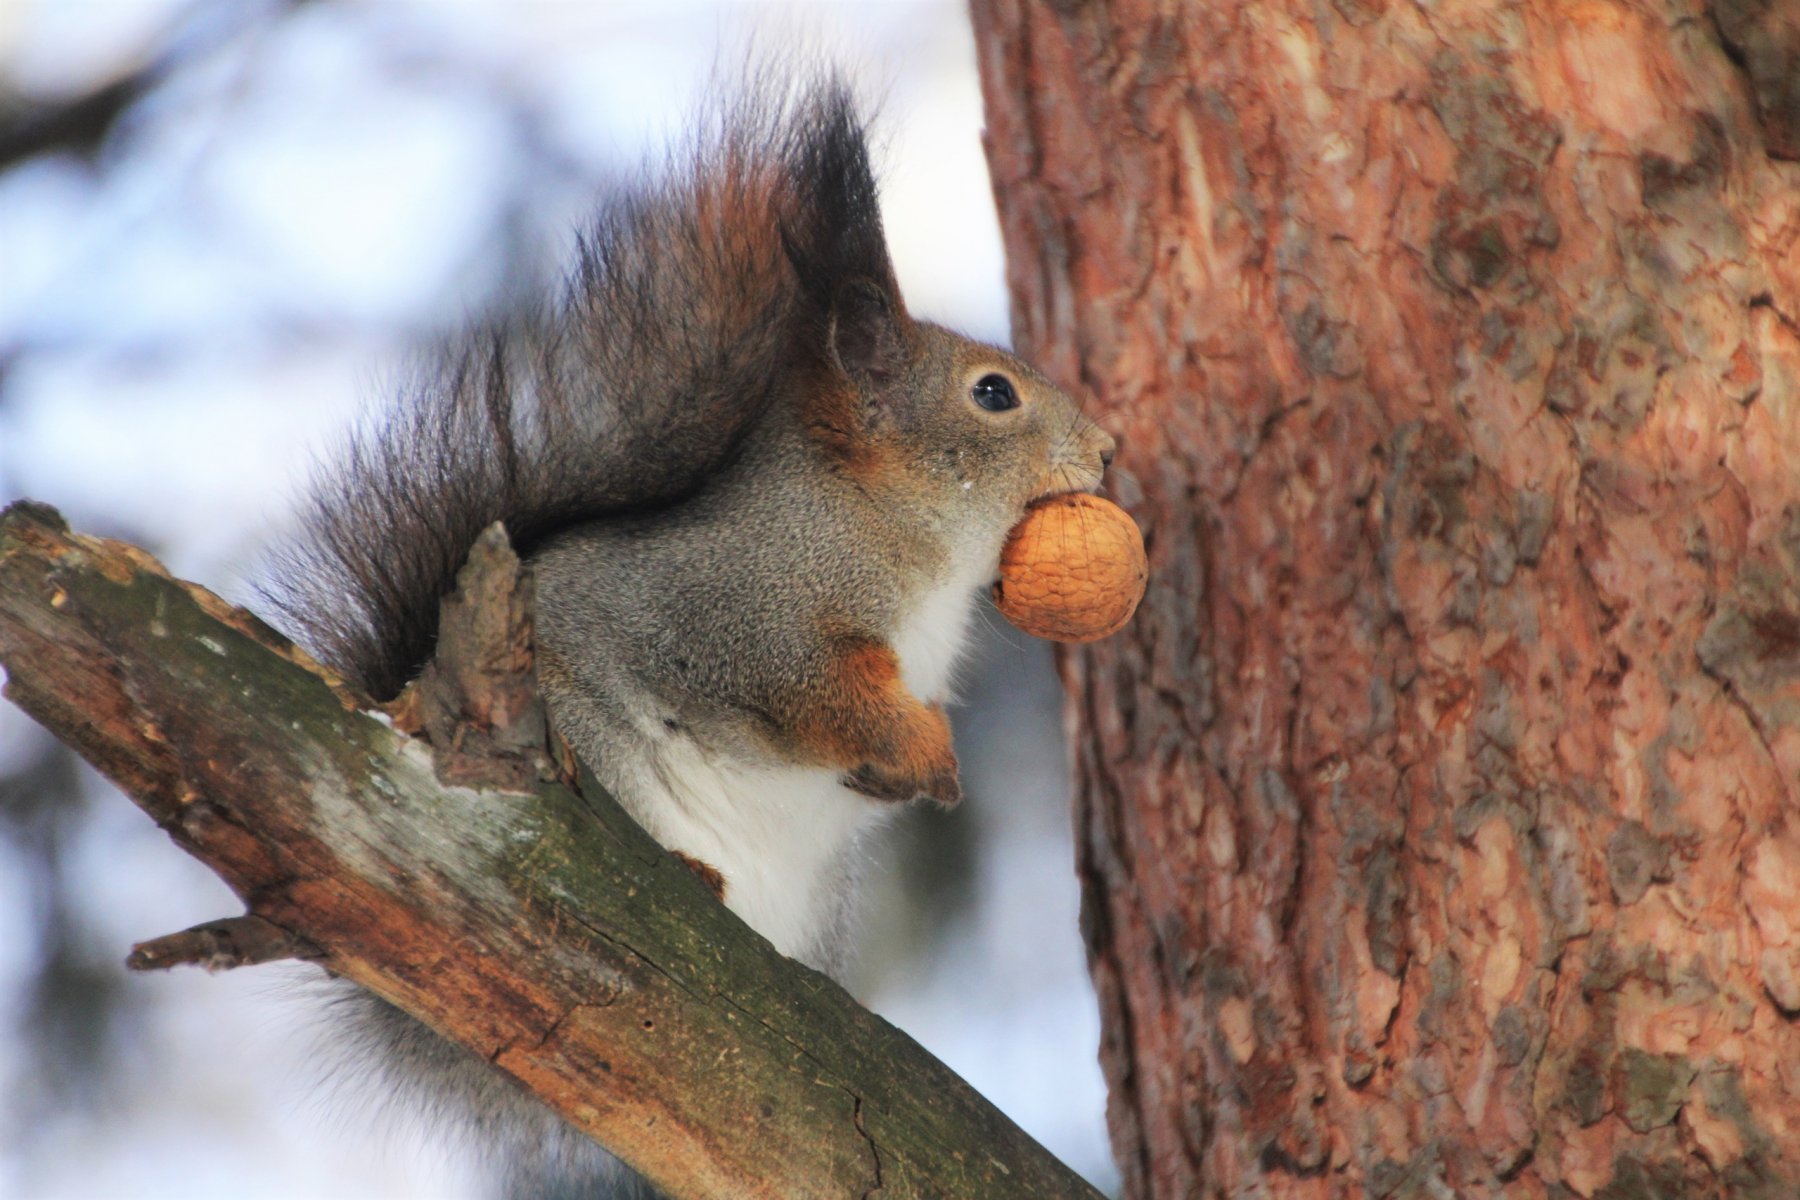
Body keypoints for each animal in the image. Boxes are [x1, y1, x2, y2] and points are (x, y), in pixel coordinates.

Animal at [264, 75, 1108, 1200]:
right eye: (994, 394)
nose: (1109, 448)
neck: (894, 532)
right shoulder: (747, 616)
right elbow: (815, 694)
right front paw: (922, 753)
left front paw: (922, 769)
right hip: (577, 753)